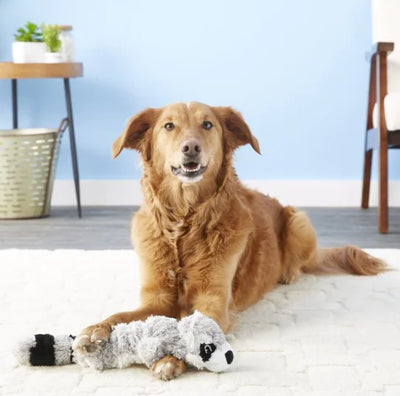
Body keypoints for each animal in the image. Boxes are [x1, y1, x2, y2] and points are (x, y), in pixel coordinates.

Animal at [75, 102, 384, 380]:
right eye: (169, 126)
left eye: (207, 124)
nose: (191, 147)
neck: (185, 223)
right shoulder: (158, 298)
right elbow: (121, 314)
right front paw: (95, 331)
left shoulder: (213, 301)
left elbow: (193, 330)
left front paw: (170, 359)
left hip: (298, 220)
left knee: (299, 262)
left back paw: (288, 274)